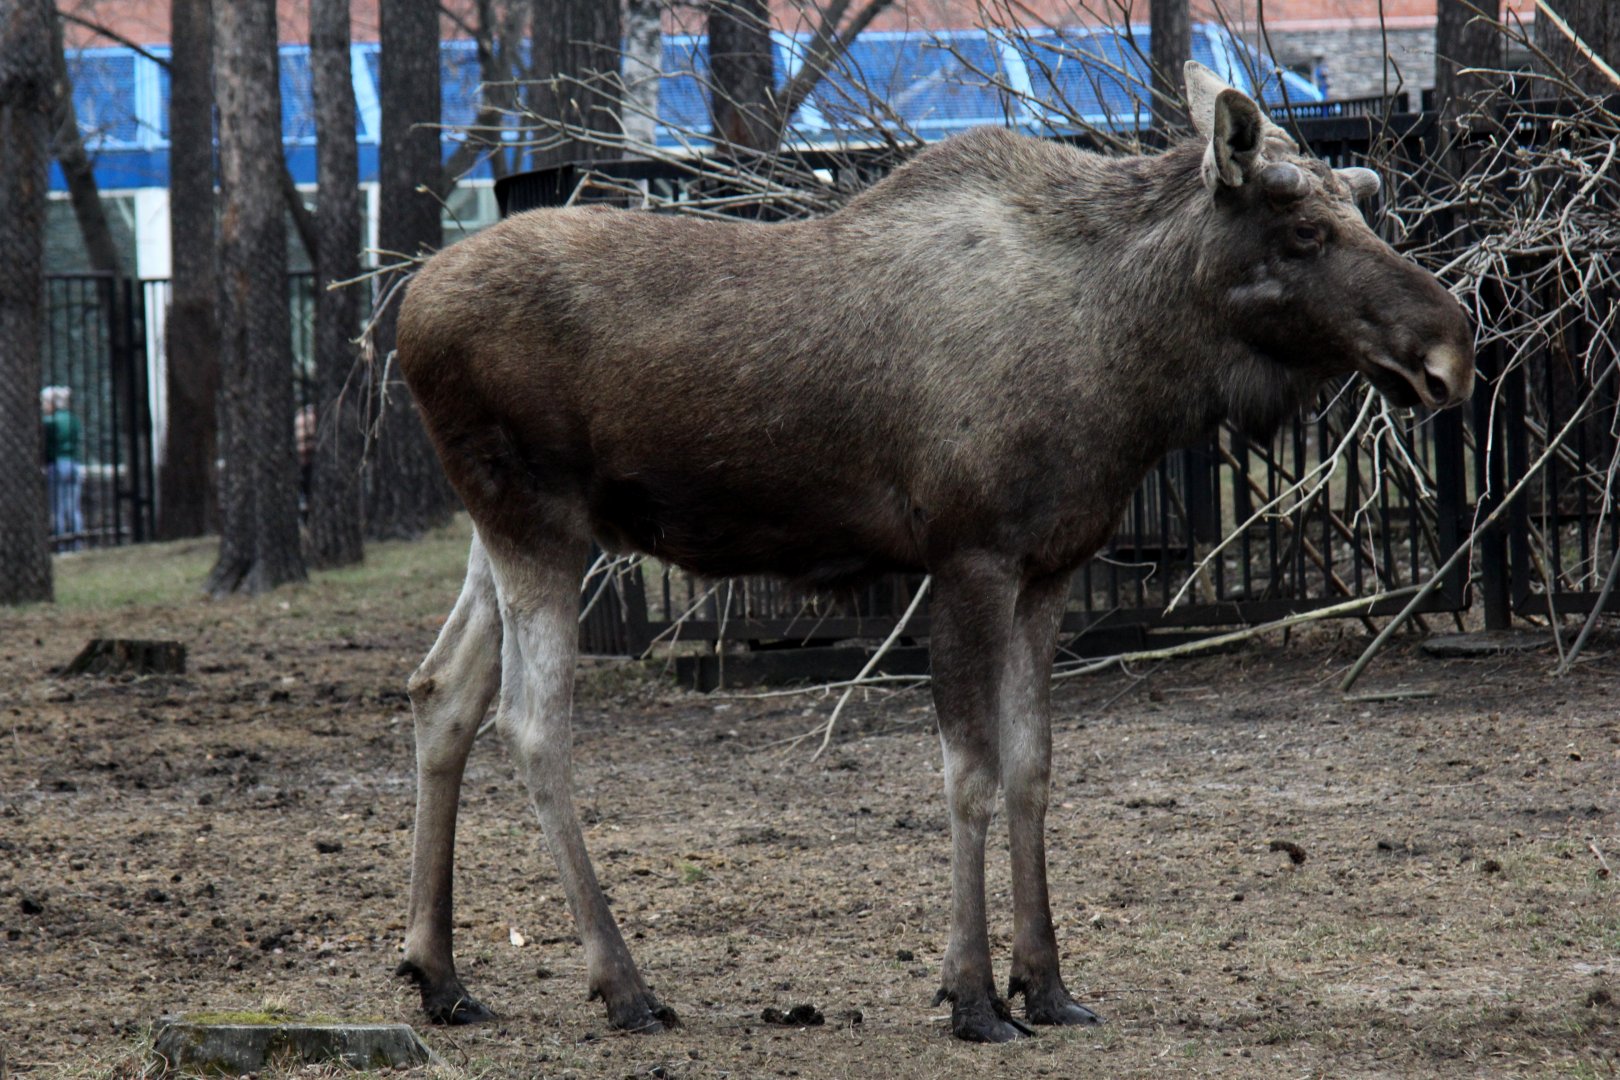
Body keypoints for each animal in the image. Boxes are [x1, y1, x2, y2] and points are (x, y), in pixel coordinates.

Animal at [389, 62, 1474, 1043]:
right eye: (1305, 232)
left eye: (1360, 211)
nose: (1451, 347)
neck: (1130, 359)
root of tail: (402, 314)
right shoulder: (970, 556)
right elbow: (971, 773)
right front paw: (974, 997)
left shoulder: (1051, 567)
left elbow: (1036, 767)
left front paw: (1050, 985)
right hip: (537, 519)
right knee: (532, 724)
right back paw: (623, 986)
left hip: (505, 529)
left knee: (441, 689)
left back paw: (439, 976)